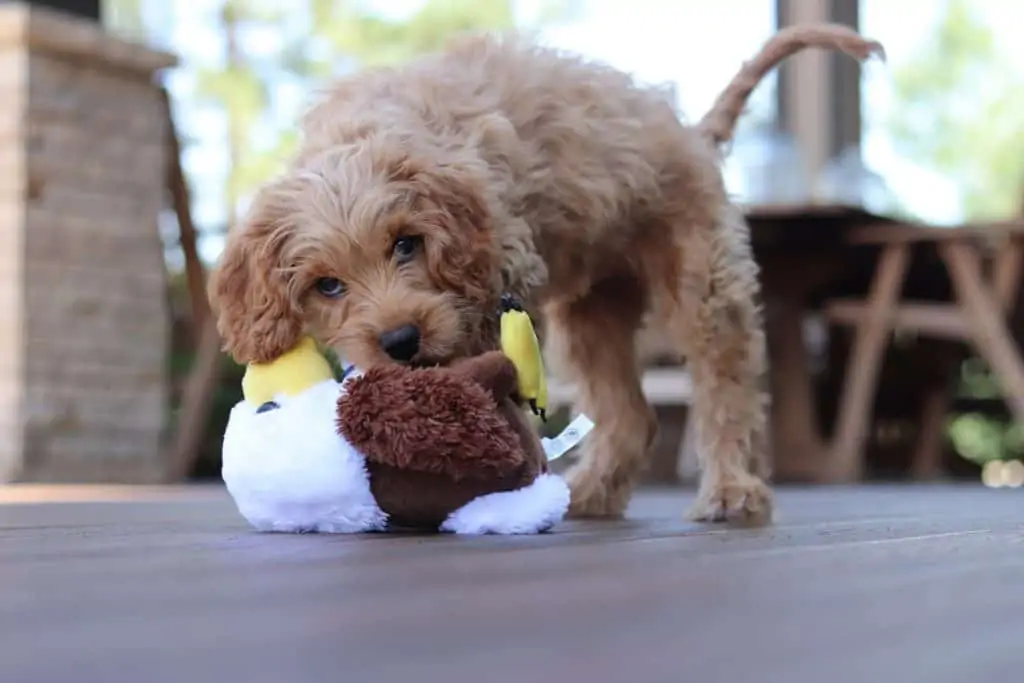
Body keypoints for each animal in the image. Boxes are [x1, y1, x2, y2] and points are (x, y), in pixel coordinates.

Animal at [207, 22, 880, 524]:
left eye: (406, 245)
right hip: (591, 316)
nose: (400, 341)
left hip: (703, 284)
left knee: (726, 388)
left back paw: (731, 490)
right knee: (631, 417)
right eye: (328, 285)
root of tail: (690, 133)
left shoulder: (495, 285)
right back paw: (590, 493)